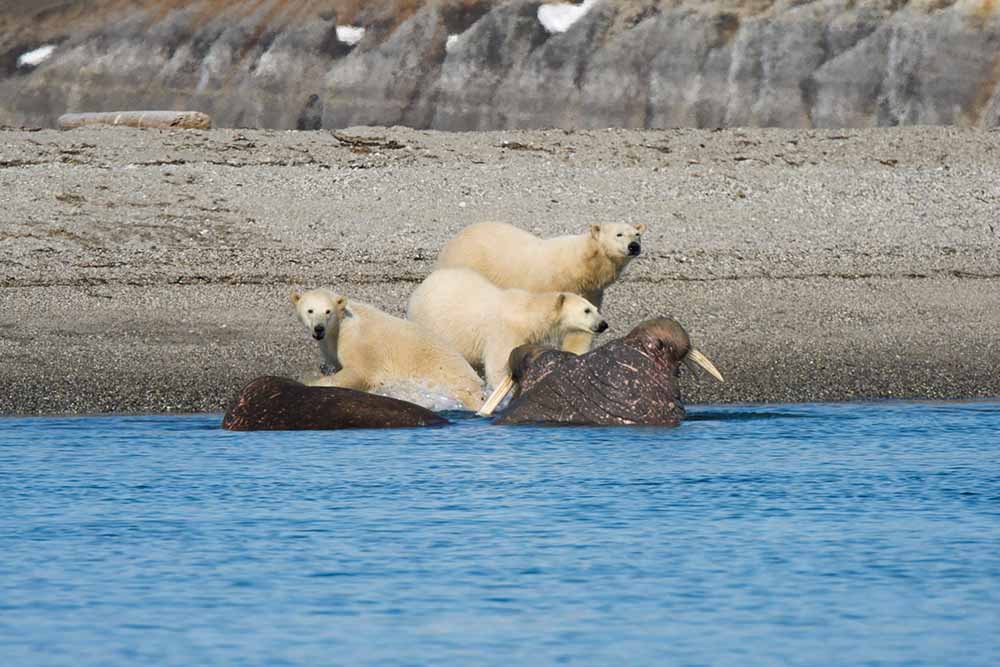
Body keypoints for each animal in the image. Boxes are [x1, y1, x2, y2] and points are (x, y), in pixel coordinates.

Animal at [290, 288, 484, 410]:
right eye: (310, 310)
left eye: (328, 311)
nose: (319, 328)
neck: (339, 327)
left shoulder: (359, 343)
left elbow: (359, 373)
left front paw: (311, 382)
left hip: (443, 377)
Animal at [406, 268, 608, 392]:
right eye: (586, 310)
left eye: (596, 309)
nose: (603, 325)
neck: (525, 312)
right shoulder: (503, 333)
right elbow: (497, 366)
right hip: (429, 321)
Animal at [440, 223, 648, 354]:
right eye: (619, 234)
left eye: (637, 234)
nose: (634, 246)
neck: (579, 265)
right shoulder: (544, 283)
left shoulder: (591, 292)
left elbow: (579, 331)